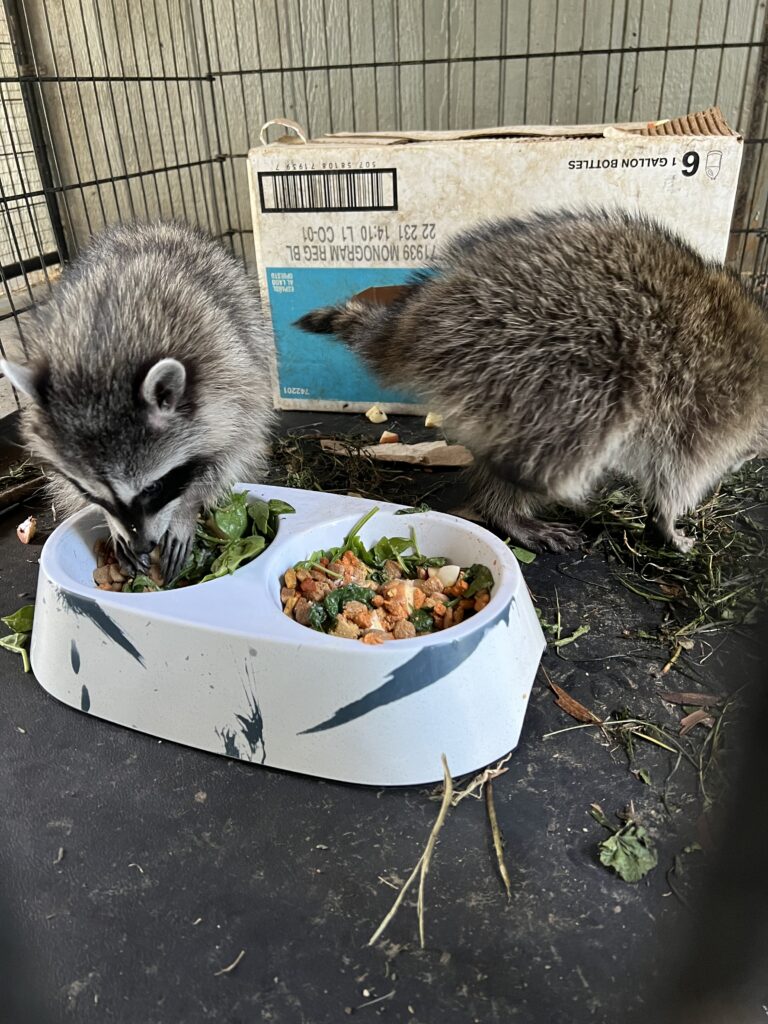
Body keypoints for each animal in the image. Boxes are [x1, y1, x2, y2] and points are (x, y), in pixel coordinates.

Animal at [1, 221, 275, 579]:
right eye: (94, 494)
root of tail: (150, 228)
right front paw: (111, 523)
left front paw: (188, 506)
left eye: (152, 489)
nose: (143, 546)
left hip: (246, 321)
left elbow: (229, 451)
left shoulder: (228, 376)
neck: (100, 357)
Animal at [297, 209, 768, 552]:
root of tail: (417, 318)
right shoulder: (705, 405)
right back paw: (505, 507)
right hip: (546, 358)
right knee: (561, 447)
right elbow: (678, 472)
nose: (748, 460)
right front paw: (667, 521)